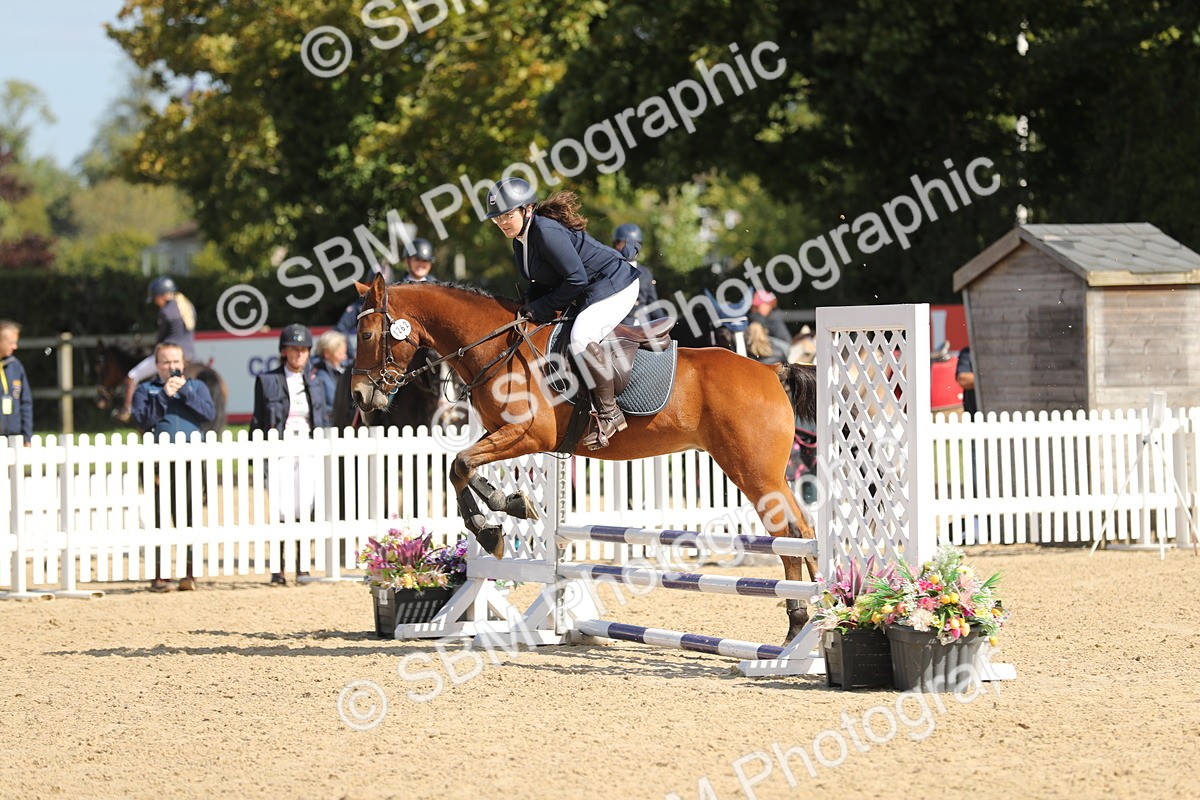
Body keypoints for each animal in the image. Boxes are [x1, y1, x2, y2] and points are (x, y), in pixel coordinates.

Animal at [349, 275, 818, 642]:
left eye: (367, 336)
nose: (359, 396)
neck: (499, 347)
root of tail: (770, 369)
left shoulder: (527, 435)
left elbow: (461, 464)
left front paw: (491, 527)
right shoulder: (501, 433)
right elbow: (462, 467)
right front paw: (509, 508)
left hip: (753, 473)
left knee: (789, 534)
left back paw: (802, 625)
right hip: (767, 475)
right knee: (805, 528)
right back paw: (818, 615)